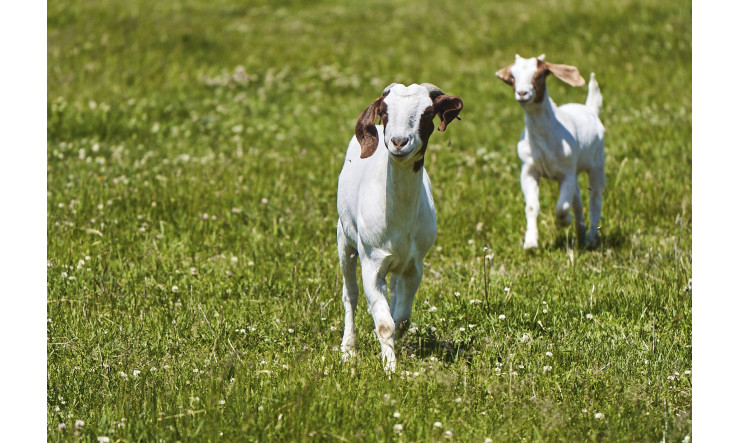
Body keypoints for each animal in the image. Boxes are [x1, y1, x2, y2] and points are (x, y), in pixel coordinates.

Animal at [338, 83, 462, 372]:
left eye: (427, 113)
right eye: (384, 112)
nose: (398, 142)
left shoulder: (414, 266)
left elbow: (401, 318)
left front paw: (394, 350)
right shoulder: (371, 262)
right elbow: (385, 324)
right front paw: (390, 368)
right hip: (344, 239)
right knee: (350, 295)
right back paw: (348, 349)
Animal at [494, 54, 604, 250]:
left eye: (538, 76)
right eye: (513, 77)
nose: (522, 93)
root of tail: (590, 109)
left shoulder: (566, 173)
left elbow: (561, 207)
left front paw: (564, 221)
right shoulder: (529, 170)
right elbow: (532, 206)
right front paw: (530, 242)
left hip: (597, 164)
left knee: (595, 199)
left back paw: (591, 238)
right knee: (577, 199)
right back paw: (581, 232)